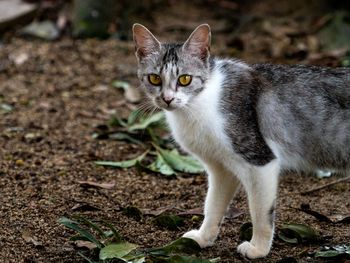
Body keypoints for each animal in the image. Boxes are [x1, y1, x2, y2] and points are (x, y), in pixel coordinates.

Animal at [132, 23, 350, 260]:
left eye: (185, 79)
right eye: (154, 79)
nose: (168, 99)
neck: (199, 104)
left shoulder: (260, 161)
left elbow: (260, 213)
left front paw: (258, 249)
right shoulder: (221, 168)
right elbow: (213, 205)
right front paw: (202, 238)